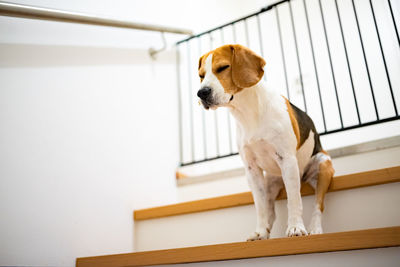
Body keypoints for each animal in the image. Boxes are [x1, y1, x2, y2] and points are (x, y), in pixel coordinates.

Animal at [197, 45, 334, 240]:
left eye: (223, 67)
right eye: (201, 75)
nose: (201, 93)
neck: (247, 112)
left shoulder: (287, 160)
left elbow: (294, 200)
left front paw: (295, 228)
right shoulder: (252, 170)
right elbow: (260, 207)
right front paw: (260, 232)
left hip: (323, 165)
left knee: (318, 204)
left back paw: (315, 229)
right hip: (269, 183)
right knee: (271, 212)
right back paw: (265, 233)